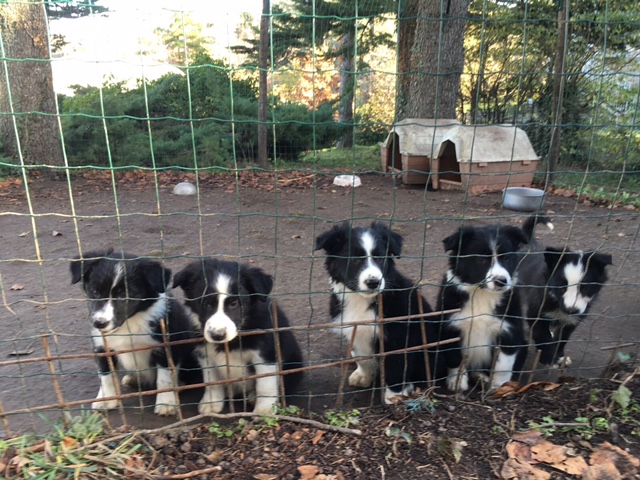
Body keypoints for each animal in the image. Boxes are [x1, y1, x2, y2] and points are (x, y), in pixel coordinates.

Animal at [69, 249, 200, 414]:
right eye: (95, 292)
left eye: (123, 295)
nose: (99, 323)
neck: (127, 324)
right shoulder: (102, 346)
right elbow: (106, 375)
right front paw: (107, 399)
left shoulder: (165, 346)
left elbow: (164, 377)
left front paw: (165, 403)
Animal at [171, 256, 304, 414]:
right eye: (206, 303)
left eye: (234, 303)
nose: (218, 335)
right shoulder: (205, 354)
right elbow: (212, 381)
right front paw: (212, 402)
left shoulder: (265, 355)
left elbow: (265, 383)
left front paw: (264, 411)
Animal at [314, 223, 438, 404]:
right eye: (354, 258)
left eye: (380, 258)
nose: (373, 282)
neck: (361, 300)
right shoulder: (356, 330)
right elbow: (362, 356)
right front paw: (363, 376)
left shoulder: (398, 337)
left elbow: (396, 366)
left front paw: (394, 396)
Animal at [436, 223, 528, 392]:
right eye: (481, 259)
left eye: (506, 258)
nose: (501, 281)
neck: (482, 294)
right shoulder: (450, 327)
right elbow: (455, 358)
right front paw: (457, 382)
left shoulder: (509, 330)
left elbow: (503, 364)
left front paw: (500, 387)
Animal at [516, 217, 612, 368]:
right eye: (561, 287)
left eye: (585, 288)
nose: (571, 309)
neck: (555, 301)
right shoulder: (535, 312)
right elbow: (542, 336)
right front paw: (548, 358)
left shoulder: (572, 320)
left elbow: (562, 337)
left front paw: (559, 356)